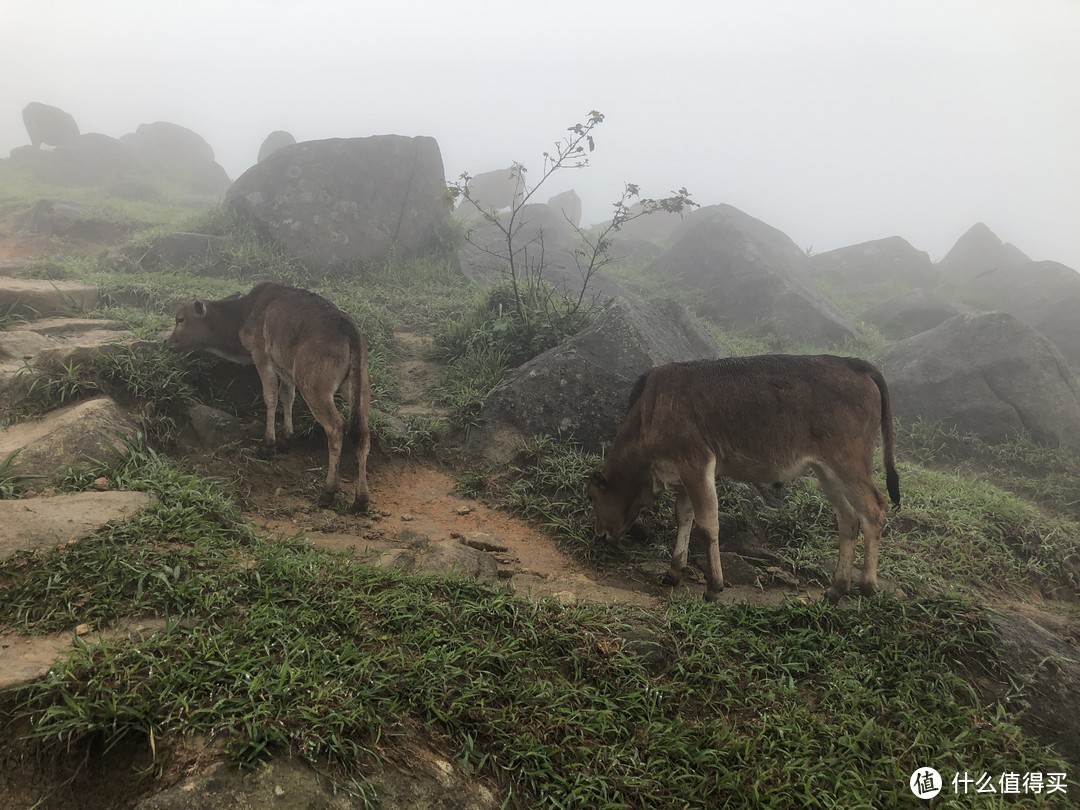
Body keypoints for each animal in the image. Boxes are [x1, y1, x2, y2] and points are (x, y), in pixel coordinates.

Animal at [166, 282, 371, 509]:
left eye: (180, 319)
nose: (169, 342)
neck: (245, 313)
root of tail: (349, 331)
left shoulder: (261, 354)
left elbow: (271, 396)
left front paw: (268, 444)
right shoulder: (285, 367)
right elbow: (287, 396)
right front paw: (286, 438)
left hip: (315, 386)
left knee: (336, 428)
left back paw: (328, 491)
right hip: (359, 385)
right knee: (362, 432)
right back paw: (361, 499)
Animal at [587, 354, 898, 604]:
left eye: (593, 497)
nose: (600, 535)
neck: (647, 417)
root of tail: (855, 364)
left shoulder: (697, 463)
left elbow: (708, 524)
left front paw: (713, 586)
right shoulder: (684, 474)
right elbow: (684, 517)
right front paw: (674, 571)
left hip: (849, 463)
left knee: (875, 510)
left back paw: (867, 586)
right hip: (827, 472)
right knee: (849, 519)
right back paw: (837, 588)